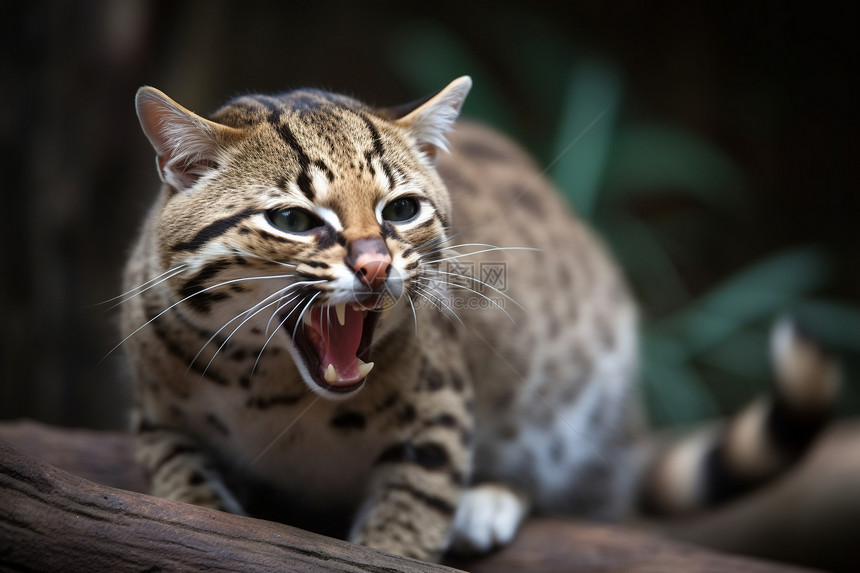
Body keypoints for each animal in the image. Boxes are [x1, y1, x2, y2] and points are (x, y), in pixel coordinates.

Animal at [122, 75, 840, 560]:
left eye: (401, 209)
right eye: (294, 220)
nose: (376, 267)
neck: (271, 388)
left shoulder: (440, 410)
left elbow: (408, 518)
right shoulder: (156, 414)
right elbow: (182, 484)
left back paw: (492, 499)